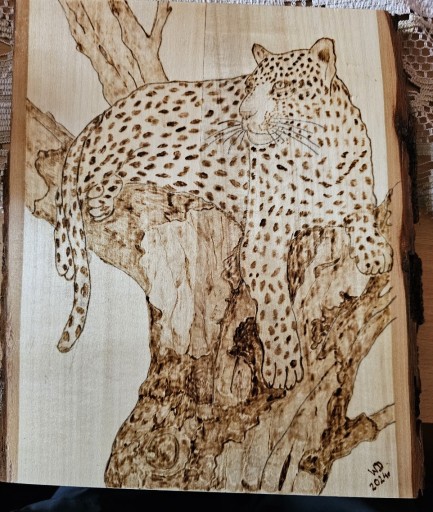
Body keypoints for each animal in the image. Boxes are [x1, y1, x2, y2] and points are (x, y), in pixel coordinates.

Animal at [54, 37, 393, 391]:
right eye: (249, 86)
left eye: (281, 87)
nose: (244, 113)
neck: (316, 155)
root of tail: (108, 112)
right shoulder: (262, 239)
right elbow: (275, 305)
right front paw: (283, 364)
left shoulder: (358, 191)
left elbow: (361, 212)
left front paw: (375, 253)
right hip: (139, 149)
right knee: (75, 181)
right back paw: (76, 238)